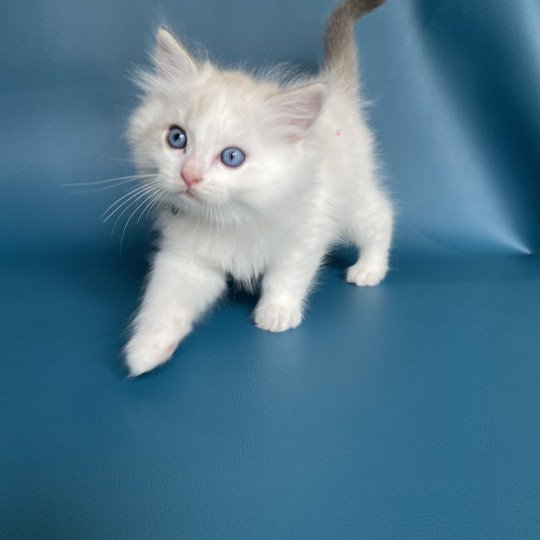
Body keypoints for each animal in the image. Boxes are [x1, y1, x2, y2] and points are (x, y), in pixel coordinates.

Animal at [124, 0, 392, 376]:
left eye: (232, 157)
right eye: (177, 138)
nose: (189, 175)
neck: (233, 217)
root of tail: (336, 91)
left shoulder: (306, 234)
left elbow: (285, 276)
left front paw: (276, 313)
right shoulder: (189, 259)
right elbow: (165, 300)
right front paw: (146, 348)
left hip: (351, 199)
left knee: (381, 216)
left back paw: (369, 269)